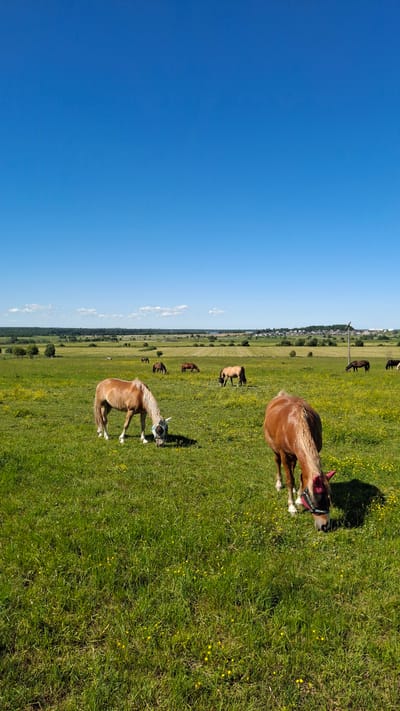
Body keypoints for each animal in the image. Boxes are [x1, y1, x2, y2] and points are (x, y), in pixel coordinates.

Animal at [264, 391, 336, 531]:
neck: (295, 423)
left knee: (292, 467)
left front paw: (299, 498)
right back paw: (279, 484)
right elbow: (290, 480)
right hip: (275, 450)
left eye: (329, 500)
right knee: (278, 463)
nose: (325, 526)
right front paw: (292, 506)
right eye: (317, 500)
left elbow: (303, 477)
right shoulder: (284, 455)